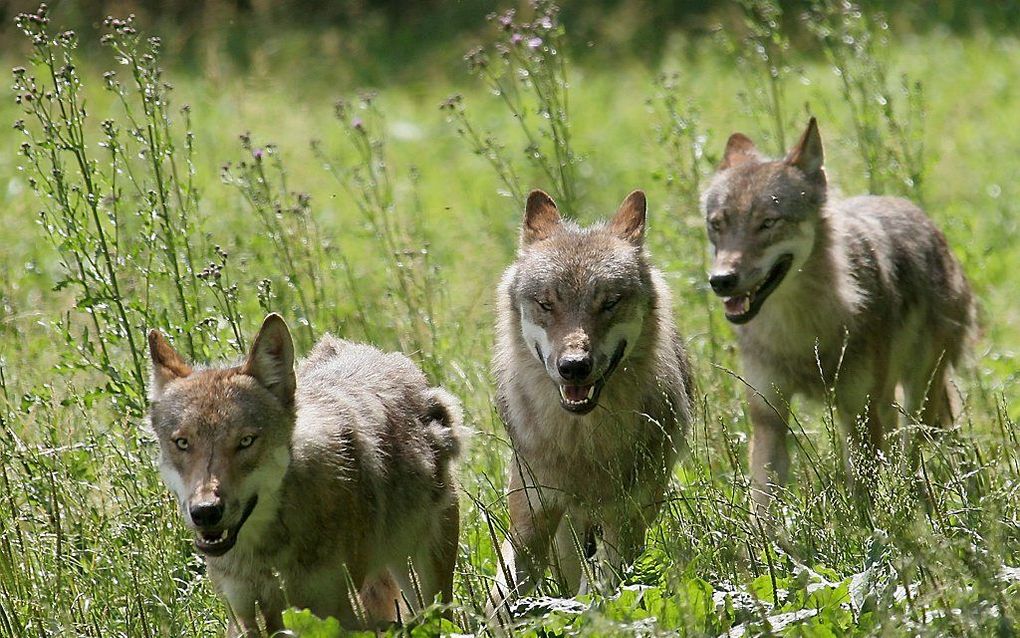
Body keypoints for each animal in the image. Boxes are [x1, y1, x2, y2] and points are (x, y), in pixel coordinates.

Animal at [145, 312, 465, 632]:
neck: (265, 553)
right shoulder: (245, 613)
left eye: (246, 441)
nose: (206, 511)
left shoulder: (335, 612)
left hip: (427, 589)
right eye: (182, 443)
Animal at [489, 188, 697, 616]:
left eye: (610, 303)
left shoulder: (625, 519)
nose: (573, 367)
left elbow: (599, 590)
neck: (581, 443)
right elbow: (501, 598)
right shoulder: (532, 516)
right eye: (546, 304)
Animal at [701, 115, 971, 512]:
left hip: (916, 397)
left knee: (910, 458)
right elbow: (763, 505)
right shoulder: (768, 419)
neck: (801, 330)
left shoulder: (857, 415)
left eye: (768, 223)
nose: (721, 280)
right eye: (717, 225)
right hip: (886, 400)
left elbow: (863, 500)